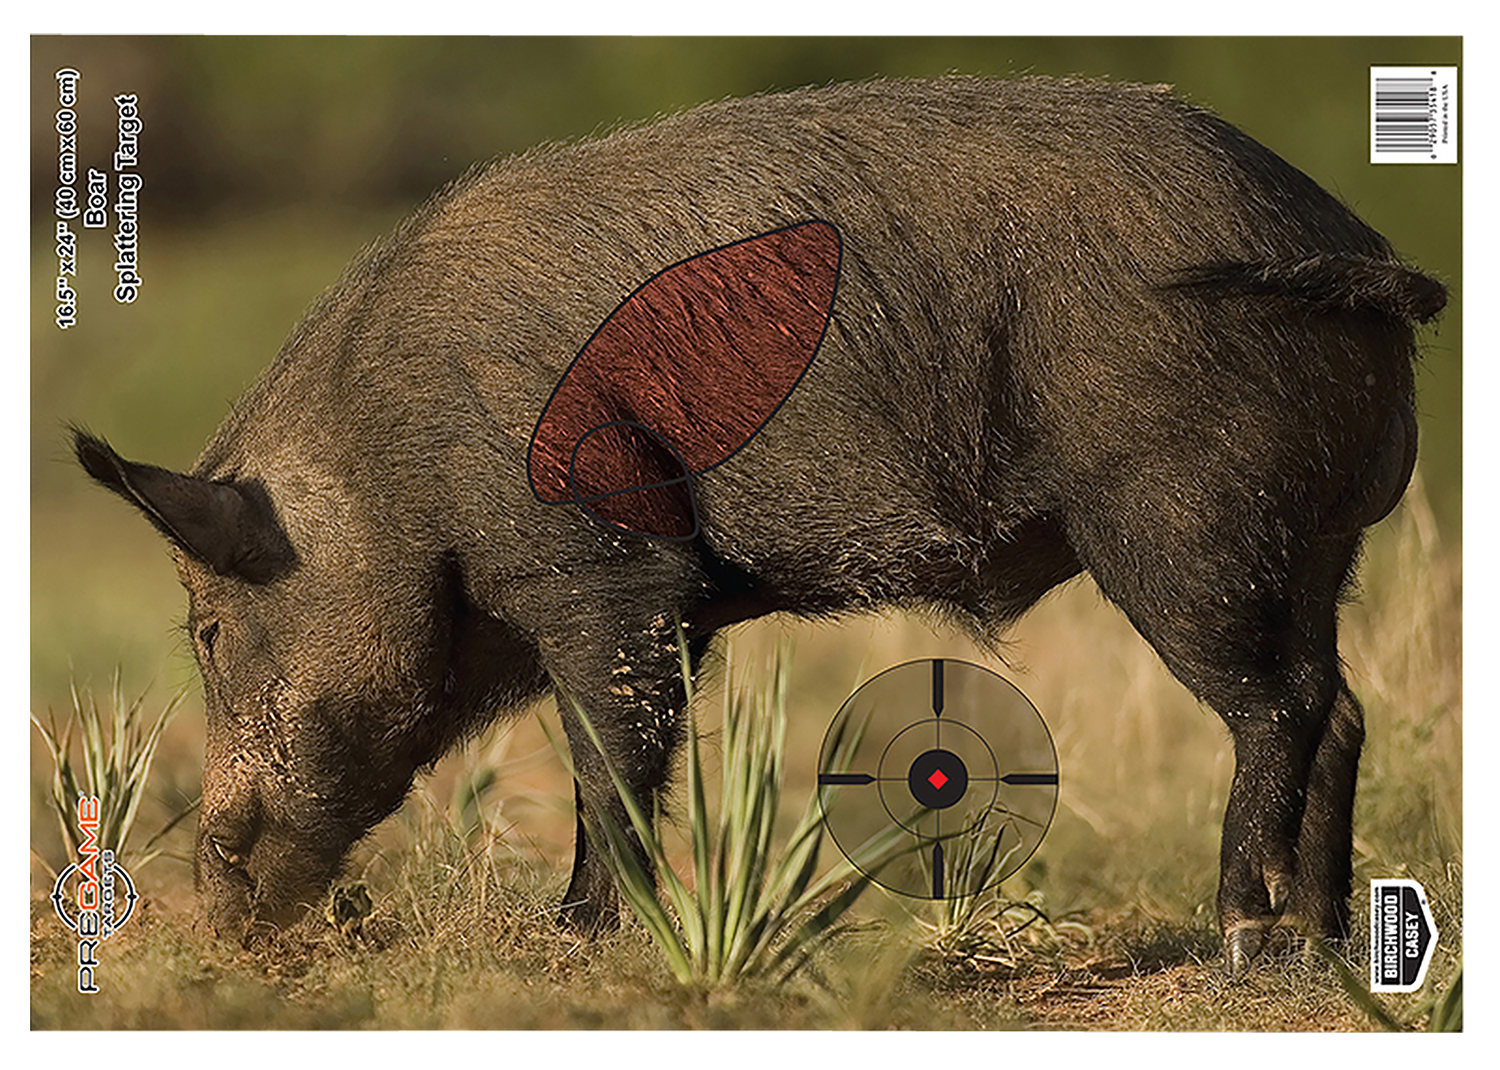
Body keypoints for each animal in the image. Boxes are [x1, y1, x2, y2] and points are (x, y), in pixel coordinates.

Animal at [74, 75, 1446, 974]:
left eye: (209, 627)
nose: (212, 905)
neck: (391, 473)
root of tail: (1355, 244)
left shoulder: (608, 571)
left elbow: (608, 760)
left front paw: (572, 941)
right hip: (1317, 546)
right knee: (1340, 703)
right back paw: (1325, 941)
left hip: (1185, 524)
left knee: (1280, 705)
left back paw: (1244, 932)